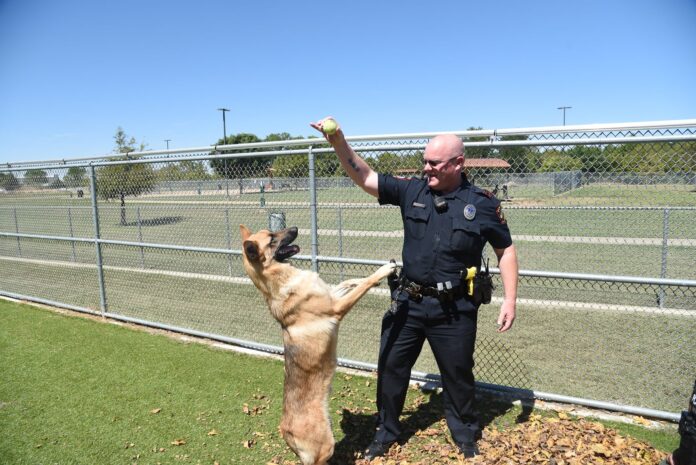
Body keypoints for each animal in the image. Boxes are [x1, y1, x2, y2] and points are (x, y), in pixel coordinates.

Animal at [238, 225, 394, 464]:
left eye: (272, 232)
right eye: (272, 239)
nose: (295, 228)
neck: (281, 279)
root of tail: (287, 433)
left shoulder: (332, 294)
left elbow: (347, 282)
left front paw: (366, 279)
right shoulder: (337, 309)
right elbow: (364, 284)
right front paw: (383, 271)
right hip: (326, 445)